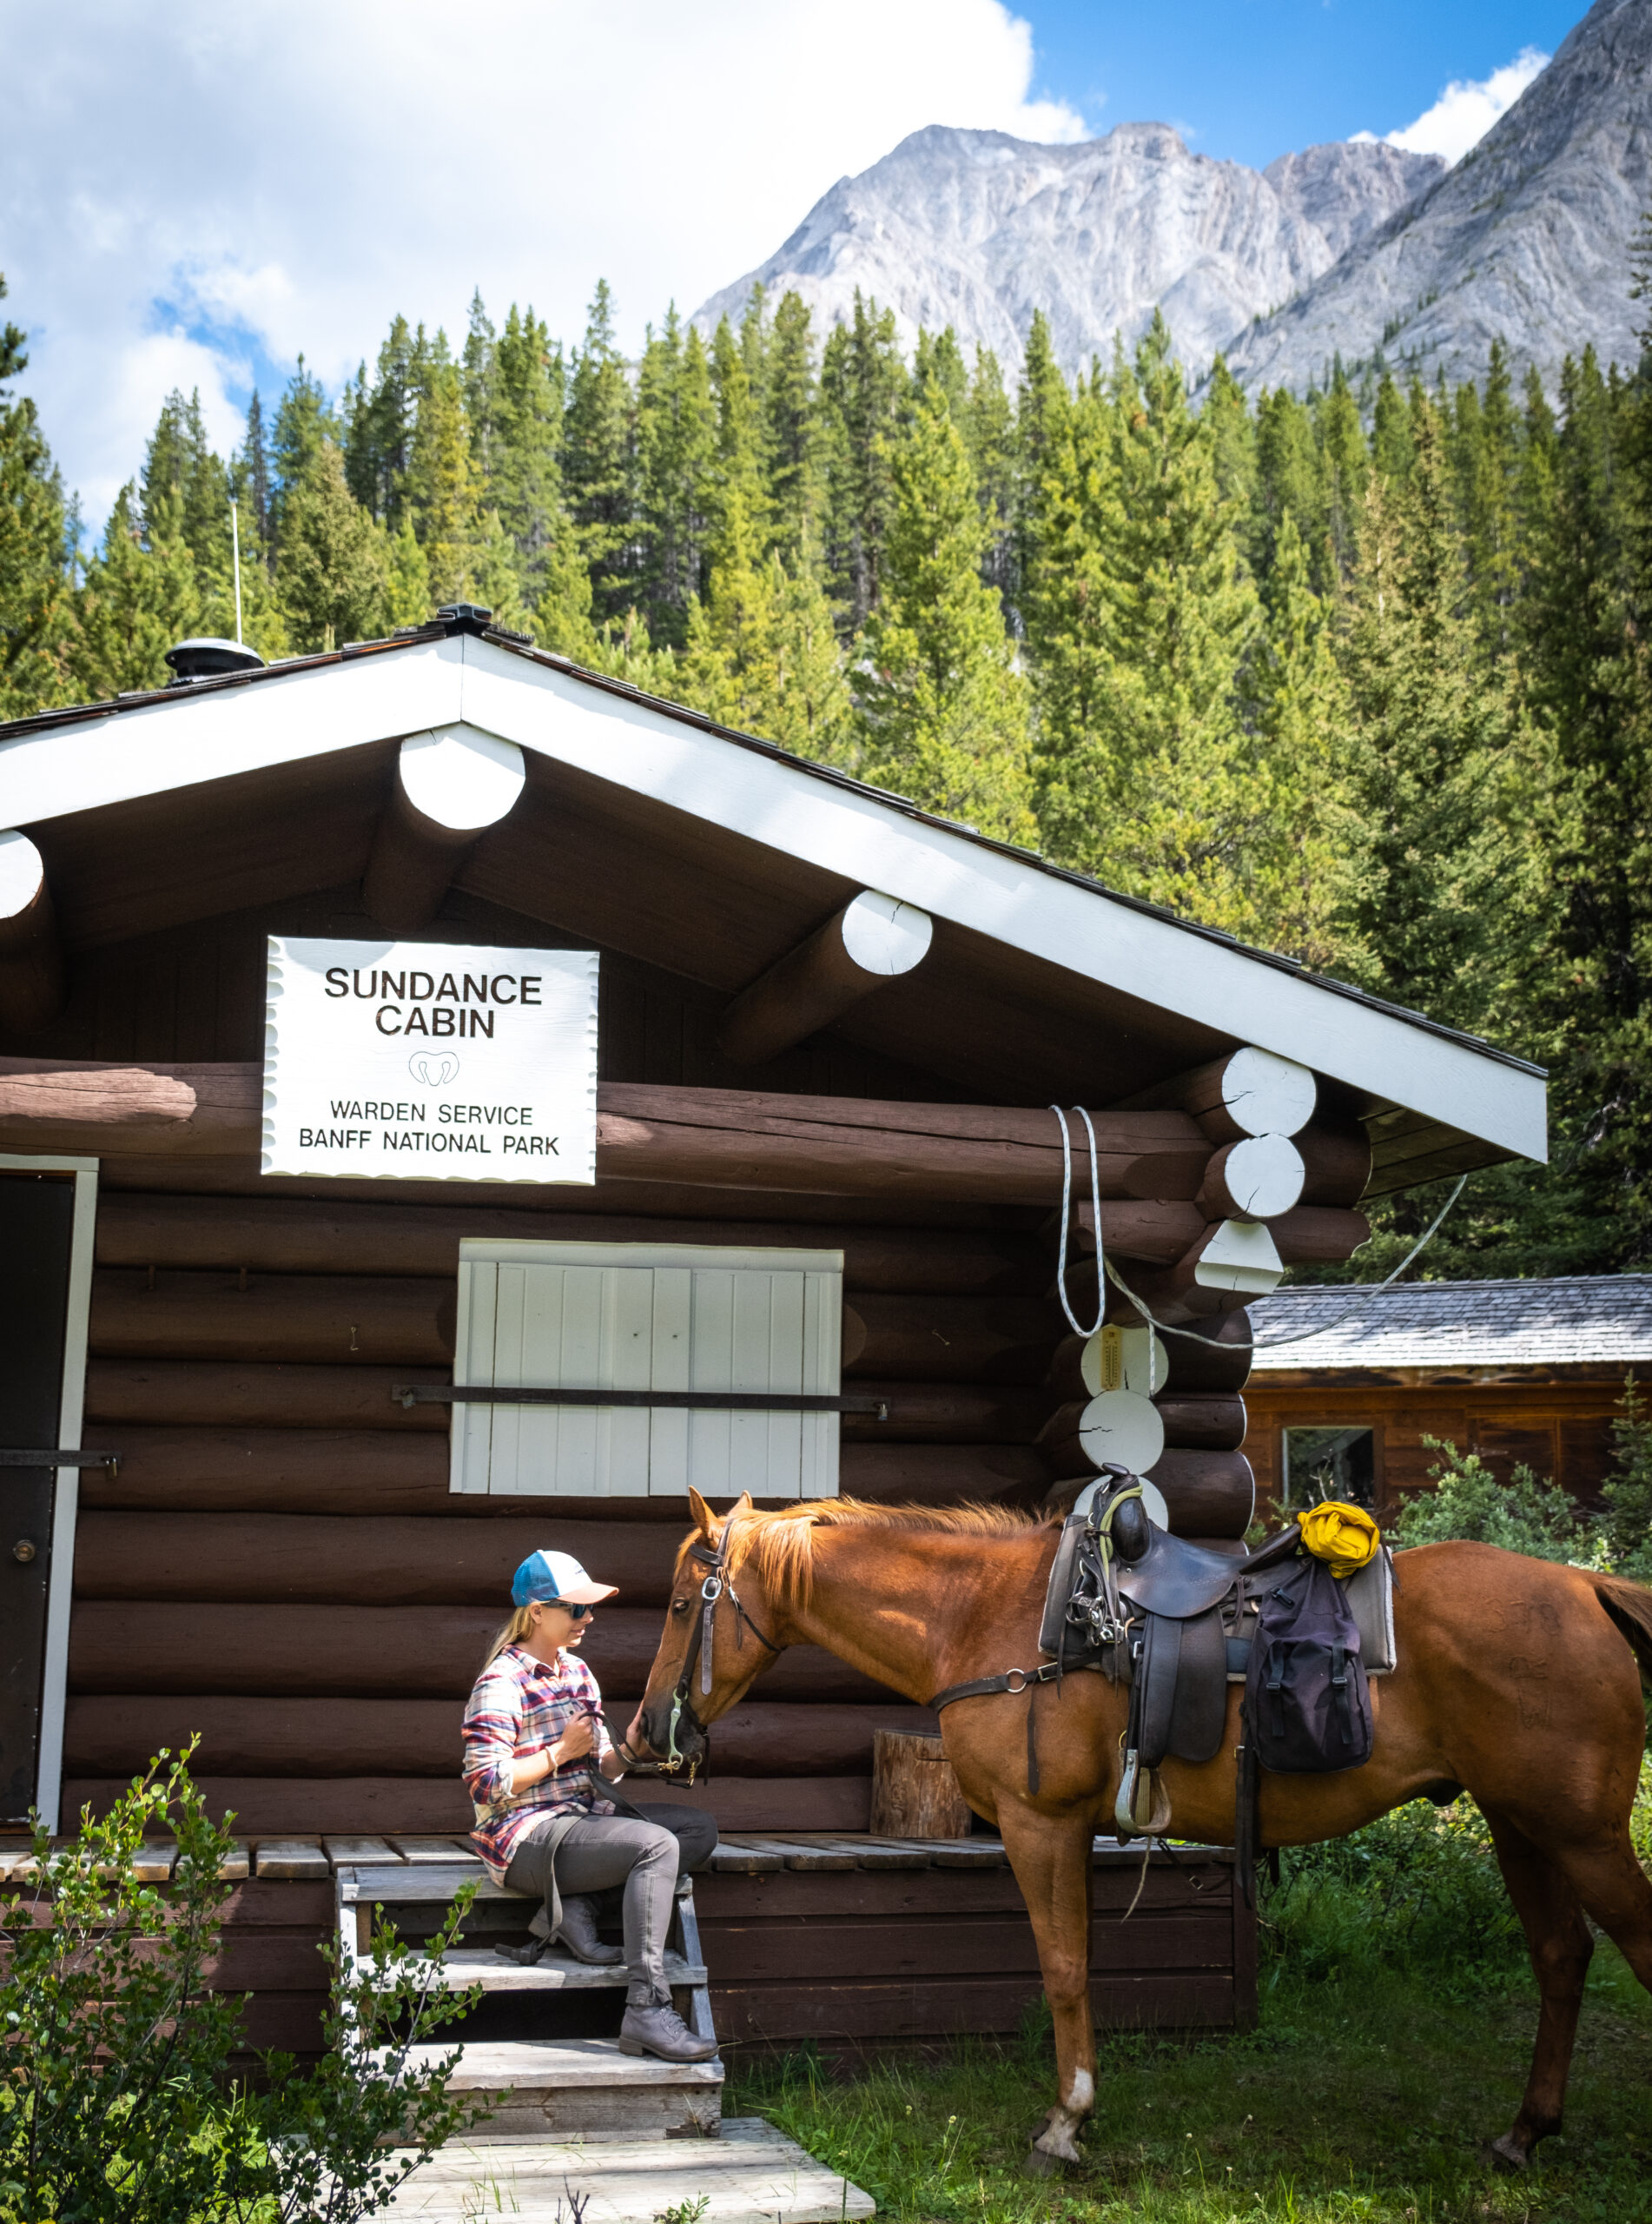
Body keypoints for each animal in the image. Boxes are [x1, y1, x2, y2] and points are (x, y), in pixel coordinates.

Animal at [631, 1494, 1652, 2170]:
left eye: (682, 1606)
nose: (646, 1732)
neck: (990, 1616)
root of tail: (1588, 1588)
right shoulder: (1070, 1832)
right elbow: (1078, 1968)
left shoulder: (1041, 1826)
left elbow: (1064, 1970)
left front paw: (1065, 2124)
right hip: (1522, 1825)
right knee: (1562, 1958)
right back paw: (1525, 2131)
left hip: (1582, 1834)